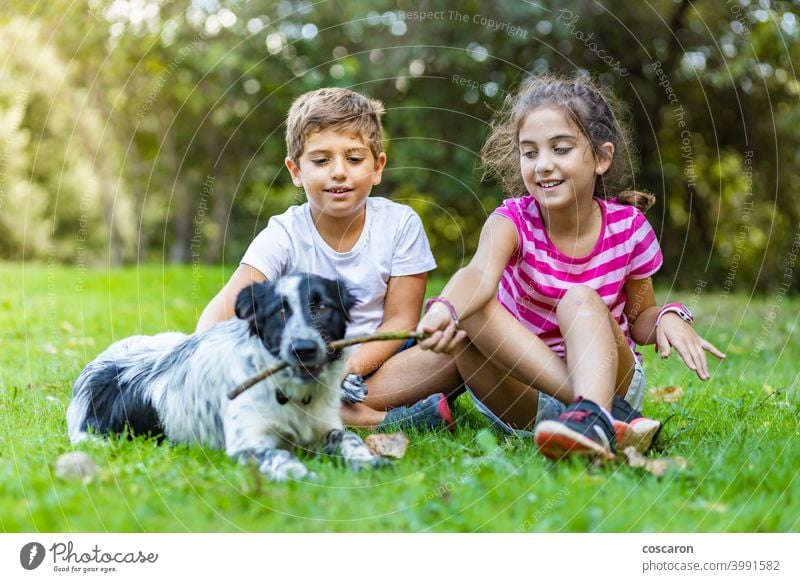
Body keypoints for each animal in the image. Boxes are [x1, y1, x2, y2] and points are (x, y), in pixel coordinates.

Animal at [67, 276, 386, 482]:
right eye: (279, 311)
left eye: (322, 307)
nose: (303, 349)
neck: (293, 393)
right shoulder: (247, 444)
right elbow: (282, 456)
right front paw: (300, 473)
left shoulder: (326, 428)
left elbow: (351, 439)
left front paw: (369, 461)